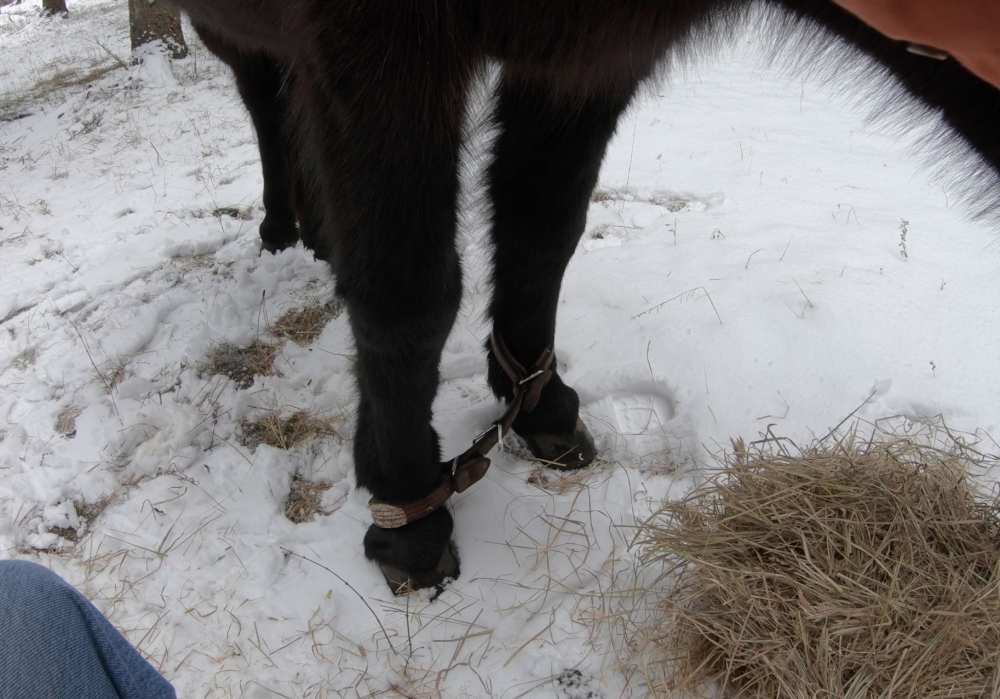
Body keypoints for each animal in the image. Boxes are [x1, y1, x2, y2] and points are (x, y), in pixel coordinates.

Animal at [174, 0, 1000, 596]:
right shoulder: (380, 53)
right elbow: (406, 296)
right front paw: (408, 512)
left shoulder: (586, 59)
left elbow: (544, 227)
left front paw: (539, 403)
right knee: (262, 97)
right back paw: (282, 228)